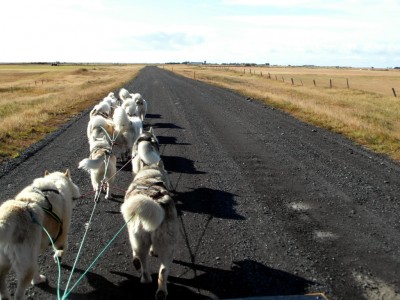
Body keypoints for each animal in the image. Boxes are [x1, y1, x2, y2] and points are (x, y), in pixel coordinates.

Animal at [0, 170, 80, 298]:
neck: (55, 182)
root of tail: (6, 220)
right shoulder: (61, 235)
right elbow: (62, 247)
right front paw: (58, 257)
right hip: (27, 264)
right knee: (20, 292)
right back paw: (38, 280)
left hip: (6, 263)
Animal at [120, 162, 177, 300]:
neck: (149, 178)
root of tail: (154, 201)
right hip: (166, 245)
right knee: (162, 270)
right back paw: (160, 291)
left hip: (140, 240)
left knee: (144, 263)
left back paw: (145, 279)